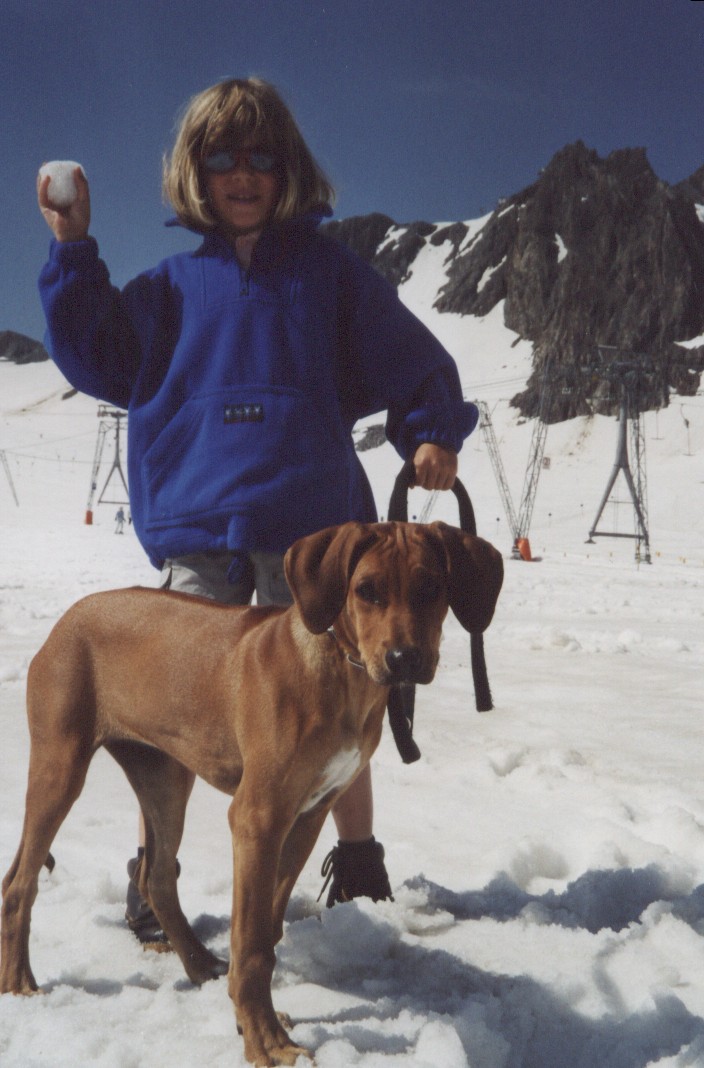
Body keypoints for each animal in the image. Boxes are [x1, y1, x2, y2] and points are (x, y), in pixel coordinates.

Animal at [2, 521, 504, 1063]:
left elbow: (267, 929)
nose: (403, 658)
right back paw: (19, 983)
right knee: (20, 884)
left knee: (157, 877)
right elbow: (253, 945)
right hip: (61, 765)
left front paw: (253, 1020)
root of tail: (66, 619)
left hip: (165, 777)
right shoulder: (257, 818)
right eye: (366, 590)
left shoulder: (307, 816)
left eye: (432, 587)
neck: (341, 672)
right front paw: (266, 1041)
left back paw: (201, 965)